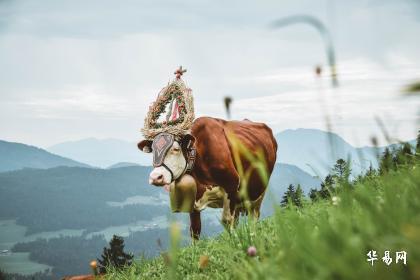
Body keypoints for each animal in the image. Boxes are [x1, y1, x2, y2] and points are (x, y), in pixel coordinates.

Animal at [138, 117, 278, 240]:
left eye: (176, 149)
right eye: (153, 151)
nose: (156, 177)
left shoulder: (232, 186)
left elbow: (227, 221)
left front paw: (234, 243)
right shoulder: (194, 198)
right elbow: (195, 230)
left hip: (259, 193)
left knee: (254, 217)